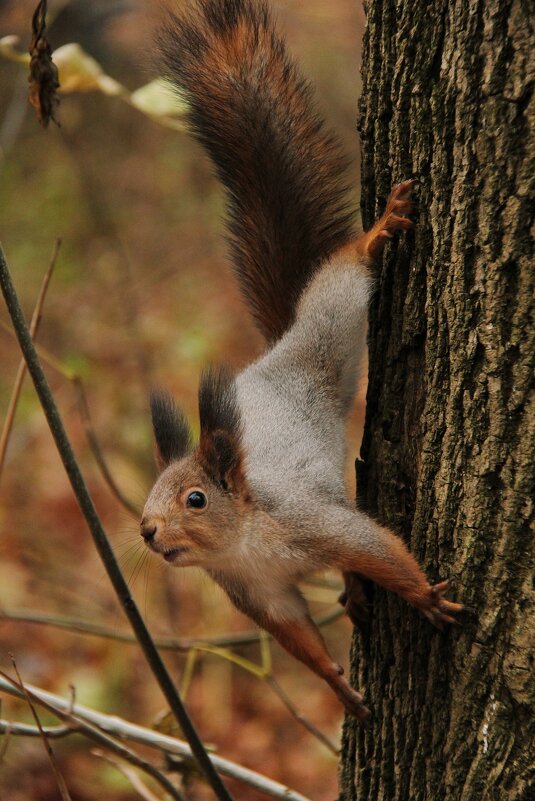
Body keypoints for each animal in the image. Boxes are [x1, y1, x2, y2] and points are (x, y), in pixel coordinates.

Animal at [141, 0, 464, 720]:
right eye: (148, 495)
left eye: (195, 498)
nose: (146, 530)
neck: (245, 539)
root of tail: (274, 352)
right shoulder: (256, 591)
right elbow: (297, 638)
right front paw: (338, 684)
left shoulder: (310, 520)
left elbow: (377, 547)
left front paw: (423, 596)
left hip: (326, 332)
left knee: (338, 284)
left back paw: (376, 234)